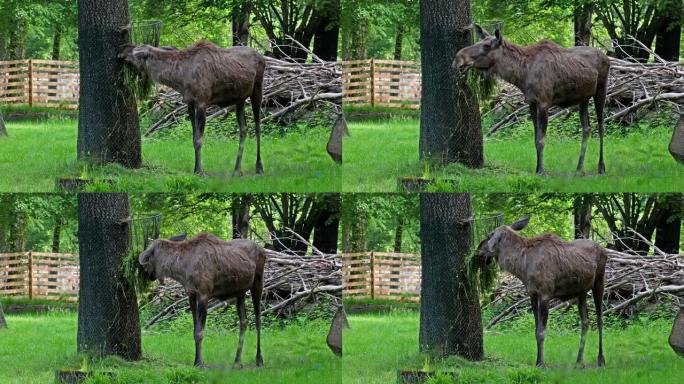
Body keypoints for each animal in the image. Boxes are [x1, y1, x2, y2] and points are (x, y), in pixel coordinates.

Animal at [120, 40, 264, 176]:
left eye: (136, 51)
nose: (123, 49)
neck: (180, 79)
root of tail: (261, 56)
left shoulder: (202, 102)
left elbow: (199, 139)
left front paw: (200, 171)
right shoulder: (190, 103)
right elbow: (194, 138)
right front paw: (195, 169)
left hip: (257, 89)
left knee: (257, 126)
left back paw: (259, 167)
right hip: (240, 99)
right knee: (244, 128)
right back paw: (237, 169)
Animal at [138, 232, 266, 368]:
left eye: (149, 257)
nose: (145, 274)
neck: (182, 271)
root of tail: (263, 250)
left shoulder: (204, 294)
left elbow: (200, 332)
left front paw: (199, 362)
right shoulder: (191, 295)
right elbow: (194, 330)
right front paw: (196, 360)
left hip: (258, 282)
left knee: (258, 318)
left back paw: (259, 359)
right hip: (240, 291)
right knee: (244, 321)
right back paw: (237, 361)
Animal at [454, 24, 608, 174]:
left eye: (486, 46)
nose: (457, 59)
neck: (521, 75)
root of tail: (607, 57)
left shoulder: (544, 102)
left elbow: (541, 140)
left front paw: (541, 171)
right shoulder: (531, 103)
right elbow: (535, 139)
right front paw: (537, 168)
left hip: (601, 91)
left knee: (601, 127)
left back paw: (601, 167)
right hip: (583, 99)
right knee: (586, 128)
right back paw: (579, 169)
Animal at [476, 214, 608, 368]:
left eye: (490, 235)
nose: (478, 252)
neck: (522, 267)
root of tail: (604, 250)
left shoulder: (545, 294)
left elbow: (541, 332)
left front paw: (541, 363)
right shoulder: (532, 294)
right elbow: (535, 329)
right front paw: (537, 360)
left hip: (599, 282)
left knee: (599, 319)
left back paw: (601, 359)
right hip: (581, 291)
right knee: (585, 321)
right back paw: (579, 361)